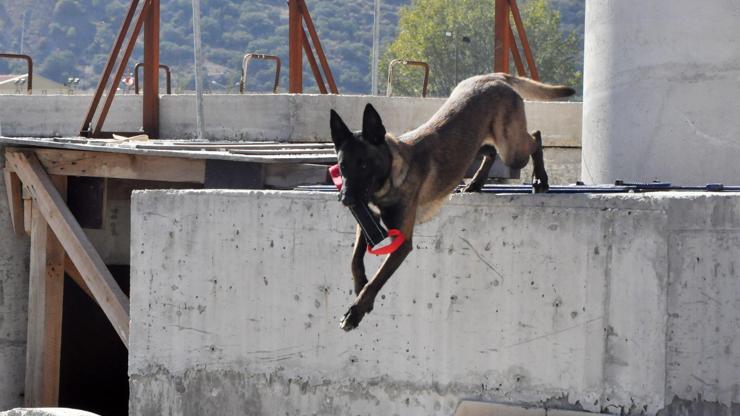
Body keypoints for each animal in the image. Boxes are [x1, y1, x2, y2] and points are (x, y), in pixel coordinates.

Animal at [330, 73, 580, 330]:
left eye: (363, 165)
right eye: (342, 166)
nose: (345, 199)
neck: (391, 175)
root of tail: (490, 77)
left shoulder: (401, 242)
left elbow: (377, 278)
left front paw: (356, 311)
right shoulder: (367, 221)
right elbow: (355, 260)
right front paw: (360, 289)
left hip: (512, 151)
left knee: (535, 138)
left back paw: (540, 178)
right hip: (478, 142)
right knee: (491, 151)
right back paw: (476, 183)